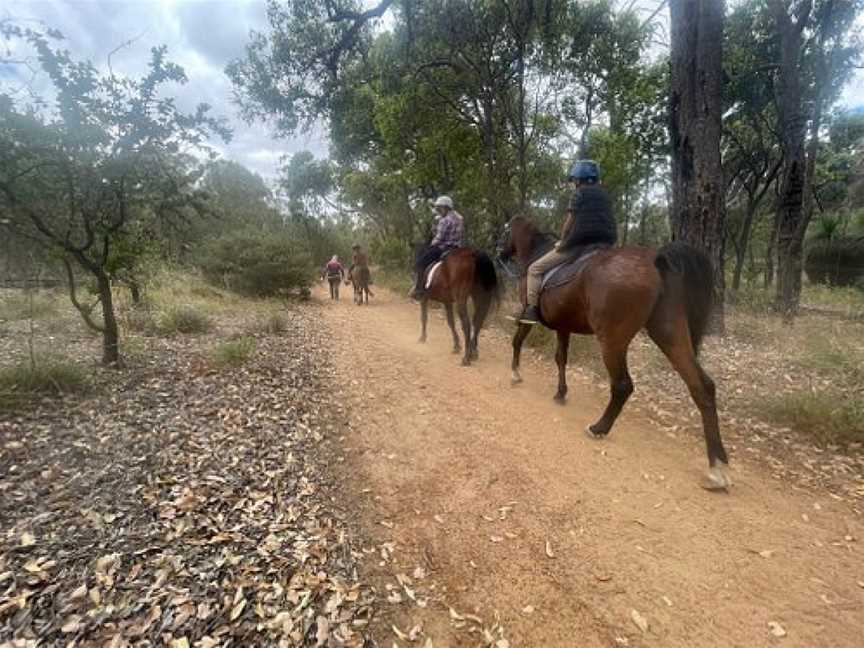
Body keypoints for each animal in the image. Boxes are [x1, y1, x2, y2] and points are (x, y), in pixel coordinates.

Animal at [500, 215, 728, 488]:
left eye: (504, 231)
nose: (500, 253)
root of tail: (655, 259)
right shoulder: (563, 327)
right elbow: (561, 359)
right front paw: (561, 393)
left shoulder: (528, 316)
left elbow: (517, 341)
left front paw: (515, 374)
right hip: (670, 334)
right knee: (702, 386)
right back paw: (717, 465)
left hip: (612, 340)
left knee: (622, 385)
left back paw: (599, 428)